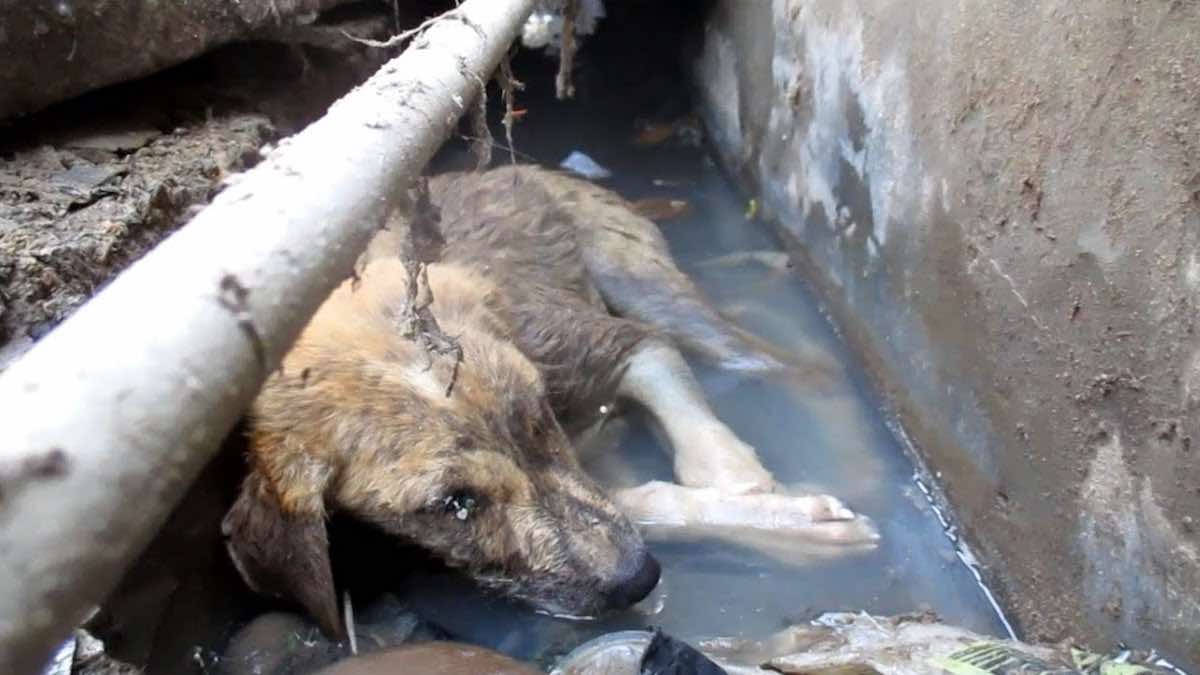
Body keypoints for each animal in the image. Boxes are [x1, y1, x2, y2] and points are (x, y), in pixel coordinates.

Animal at [225, 164, 878, 634]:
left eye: (539, 417)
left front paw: (760, 493)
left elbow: (693, 441)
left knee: (804, 365)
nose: (641, 579)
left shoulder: (623, 346)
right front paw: (786, 519)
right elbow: (645, 502)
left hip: (646, 286)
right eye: (455, 505)